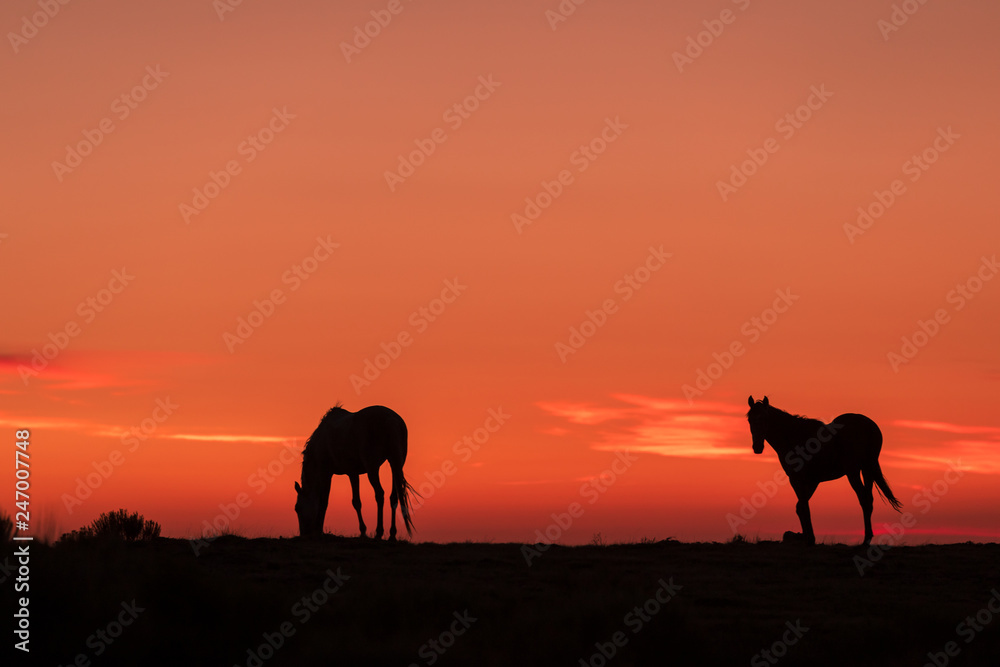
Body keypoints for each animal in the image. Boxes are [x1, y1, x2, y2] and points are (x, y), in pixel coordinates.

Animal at [298, 404, 420, 540]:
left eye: (297, 508)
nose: (304, 534)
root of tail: (391, 419)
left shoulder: (330, 473)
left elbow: (327, 501)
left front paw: (320, 531)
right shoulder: (352, 473)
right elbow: (355, 501)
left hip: (372, 468)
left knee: (379, 494)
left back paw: (379, 532)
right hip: (395, 465)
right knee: (394, 497)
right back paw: (392, 534)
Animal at [748, 394, 904, 544]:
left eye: (764, 418)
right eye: (749, 419)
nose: (757, 447)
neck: (796, 437)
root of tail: (870, 427)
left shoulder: (797, 479)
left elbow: (803, 507)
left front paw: (810, 538)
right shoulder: (812, 481)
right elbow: (801, 507)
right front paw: (806, 537)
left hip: (853, 472)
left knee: (864, 499)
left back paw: (866, 539)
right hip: (867, 470)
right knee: (869, 499)